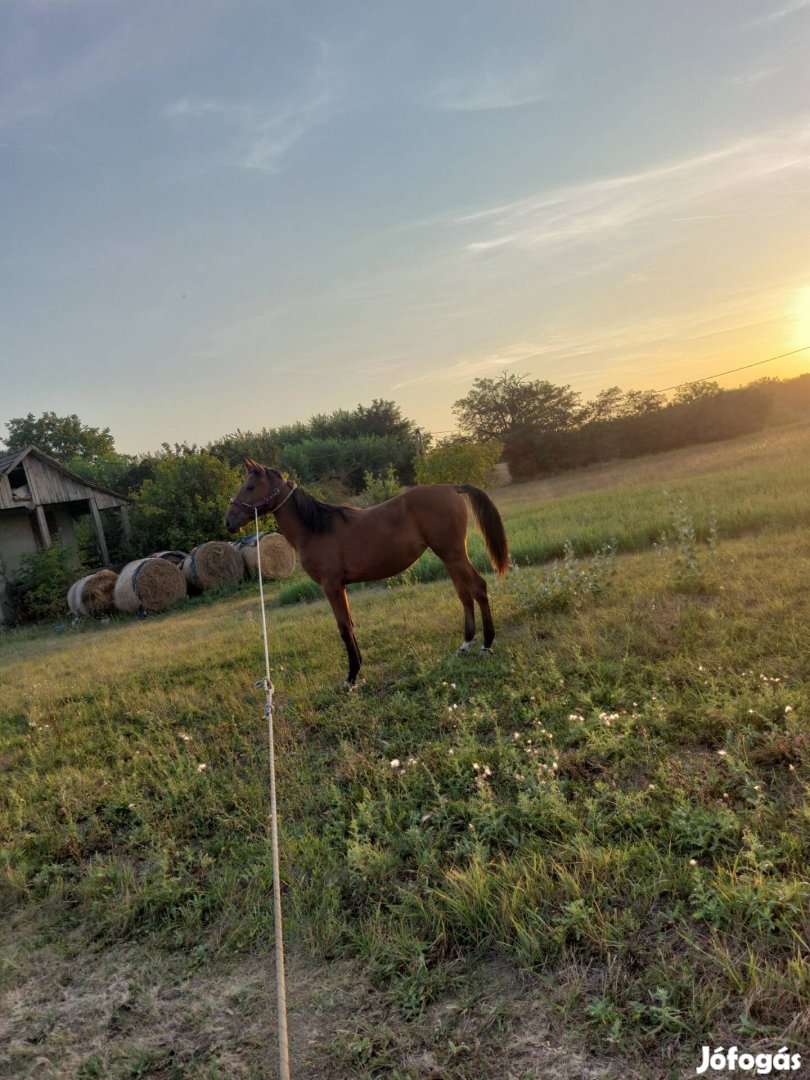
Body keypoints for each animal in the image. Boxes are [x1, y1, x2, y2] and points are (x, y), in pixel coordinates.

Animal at [225, 457, 509, 682]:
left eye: (250, 487)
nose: (229, 521)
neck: (317, 528)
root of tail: (451, 487)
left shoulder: (331, 586)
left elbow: (343, 627)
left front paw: (351, 677)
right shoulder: (340, 587)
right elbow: (350, 624)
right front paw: (358, 667)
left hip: (454, 555)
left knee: (478, 587)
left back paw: (486, 645)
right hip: (449, 558)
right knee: (464, 594)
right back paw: (466, 643)